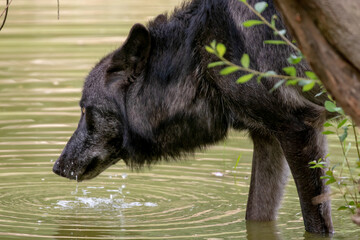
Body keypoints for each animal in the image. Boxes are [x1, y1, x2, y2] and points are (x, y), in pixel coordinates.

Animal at [53, 0, 334, 233]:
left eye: (84, 109)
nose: (57, 166)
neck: (199, 56)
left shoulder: (298, 130)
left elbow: (316, 222)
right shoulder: (267, 138)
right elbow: (255, 213)